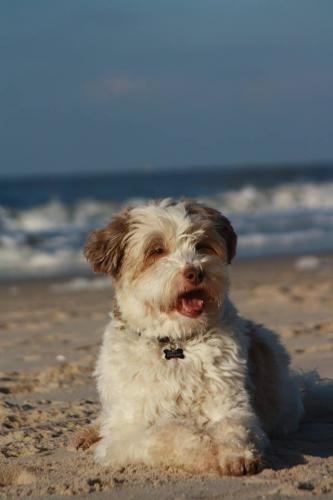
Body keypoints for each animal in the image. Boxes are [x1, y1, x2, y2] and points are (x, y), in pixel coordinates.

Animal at [77, 197, 306, 474]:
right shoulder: (126, 432)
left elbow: (234, 427)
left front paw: (237, 454)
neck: (176, 343)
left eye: (202, 245)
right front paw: (206, 452)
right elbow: (168, 435)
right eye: (156, 250)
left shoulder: (232, 404)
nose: (195, 272)